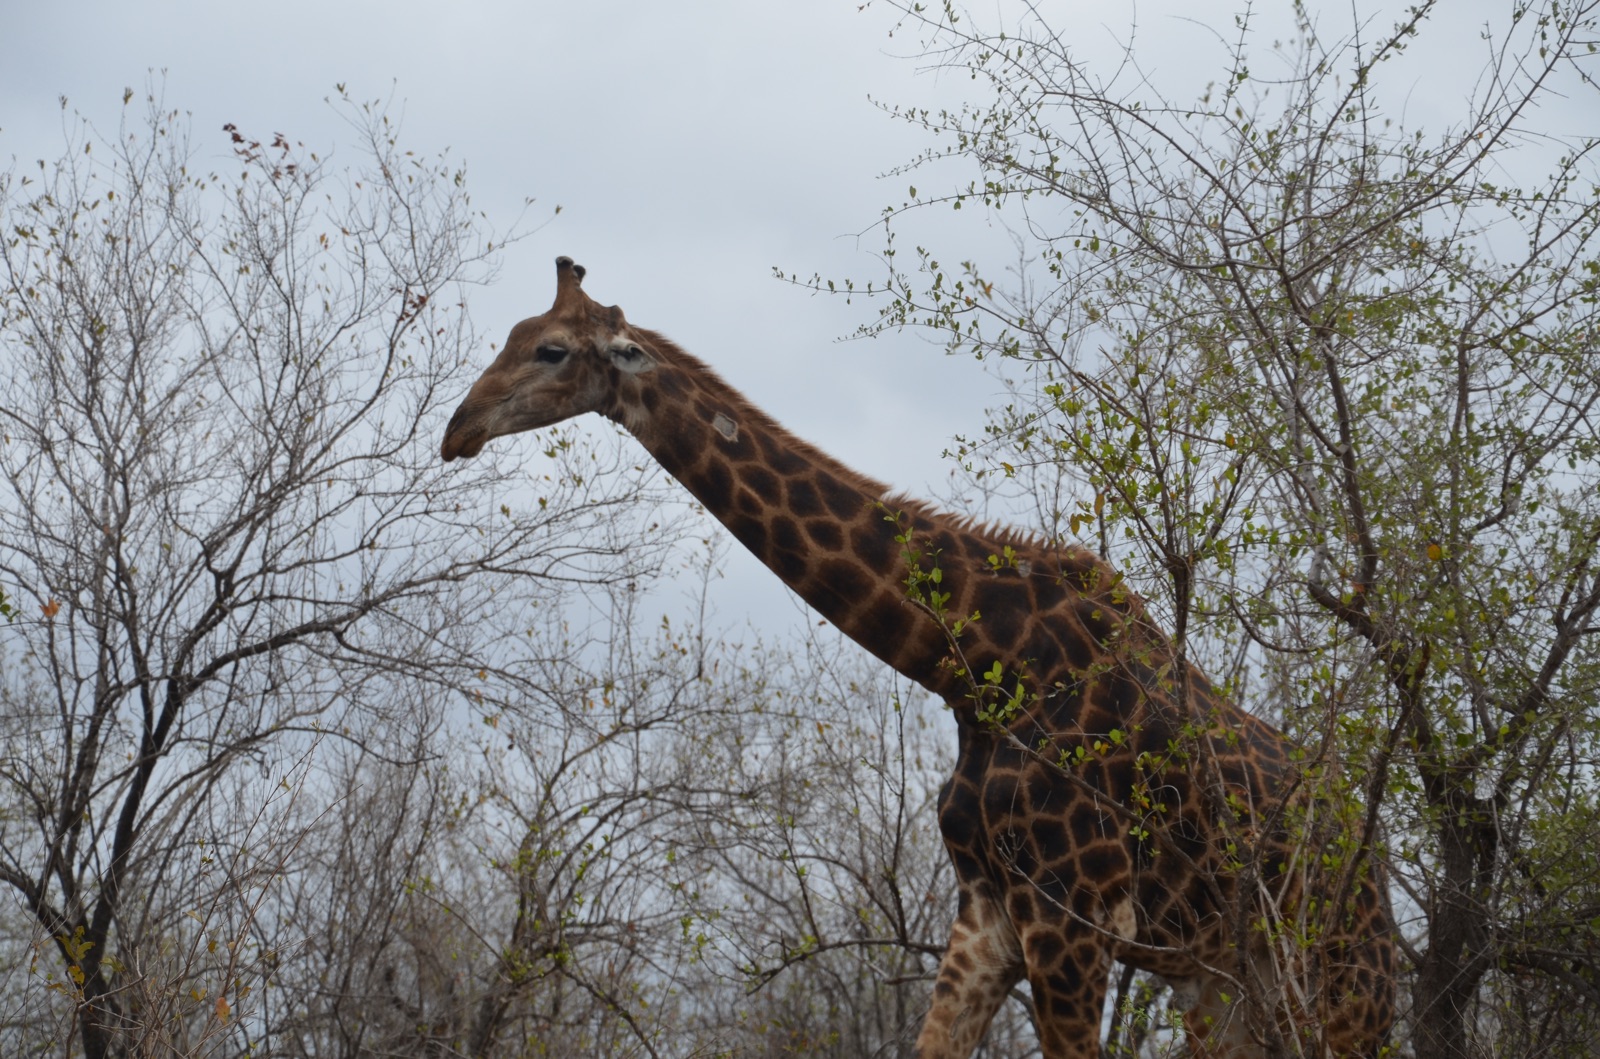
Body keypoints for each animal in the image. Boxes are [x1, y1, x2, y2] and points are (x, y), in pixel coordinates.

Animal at [440, 258, 1396, 1058]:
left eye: (551, 348)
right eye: (512, 334)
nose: (458, 429)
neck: (972, 659)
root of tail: (1371, 849)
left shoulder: (1074, 917)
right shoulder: (987, 916)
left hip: (1344, 974)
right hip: (1227, 981)